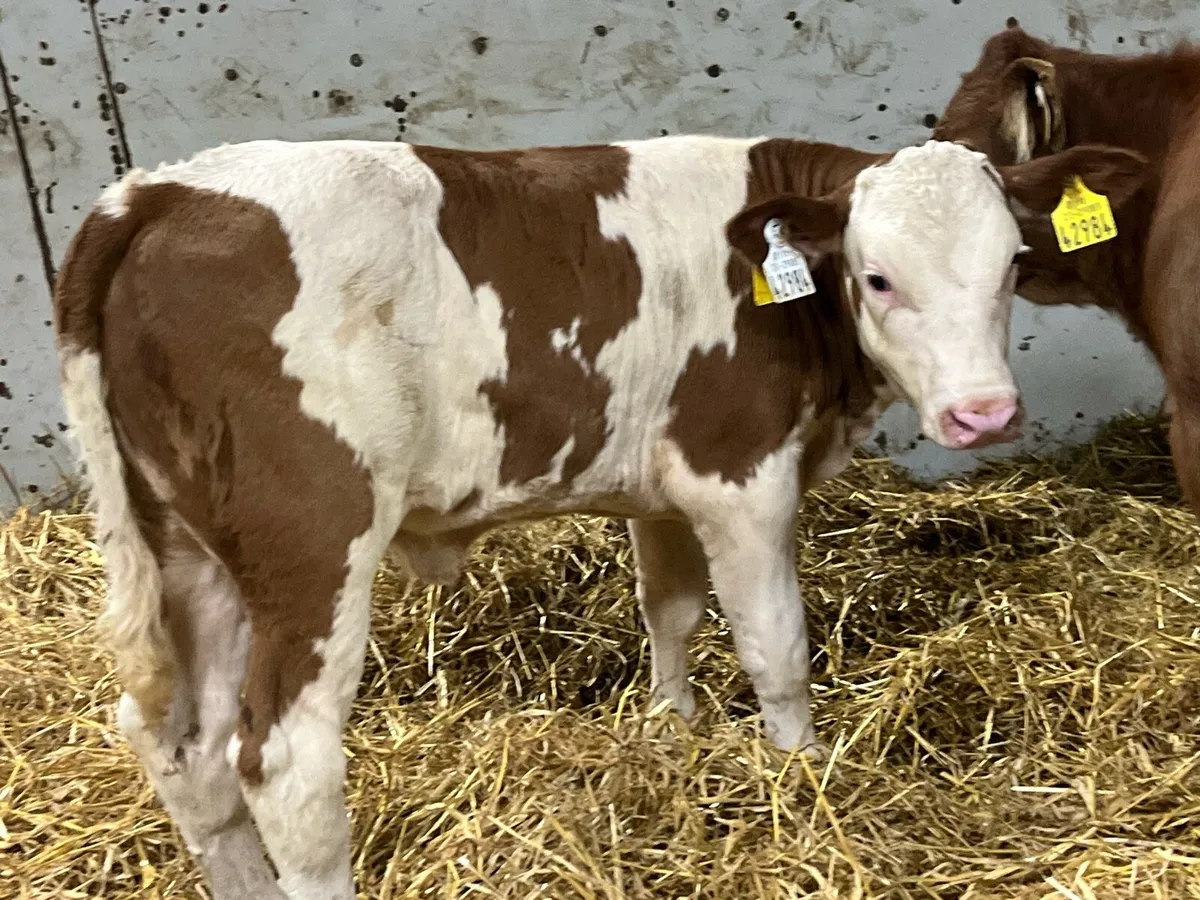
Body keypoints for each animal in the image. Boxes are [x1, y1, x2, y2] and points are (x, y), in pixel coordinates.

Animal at [52, 133, 1143, 899]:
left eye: (1012, 267)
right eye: (878, 278)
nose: (983, 414)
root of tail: (157, 193)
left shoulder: (663, 486)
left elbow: (671, 611)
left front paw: (672, 728)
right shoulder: (740, 473)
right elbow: (776, 646)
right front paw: (801, 774)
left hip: (188, 548)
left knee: (185, 751)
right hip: (312, 543)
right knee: (282, 760)